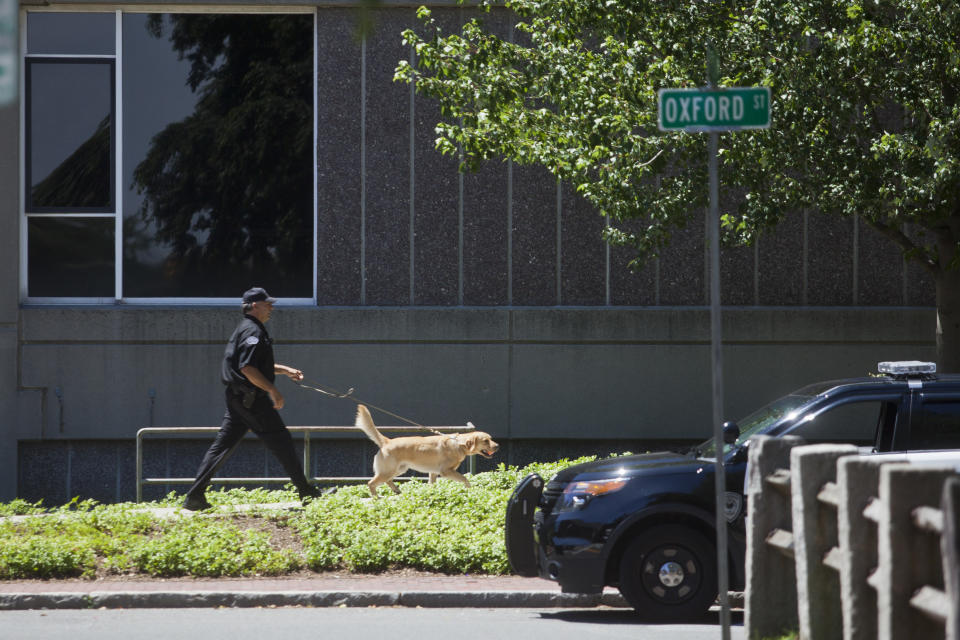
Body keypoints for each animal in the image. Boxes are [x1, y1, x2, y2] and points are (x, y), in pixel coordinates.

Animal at [354, 402, 502, 498]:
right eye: (485, 441)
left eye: (491, 439)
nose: (498, 446)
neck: (458, 444)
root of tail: (387, 441)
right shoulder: (446, 471)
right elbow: (465, 479)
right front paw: (469, 490)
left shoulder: (433, 472)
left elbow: (432, 485)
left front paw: (432, 494)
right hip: (389, 470)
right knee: (371, 483)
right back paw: (376, 497)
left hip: (398, 469)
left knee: (387, 480)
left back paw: (396, 491)